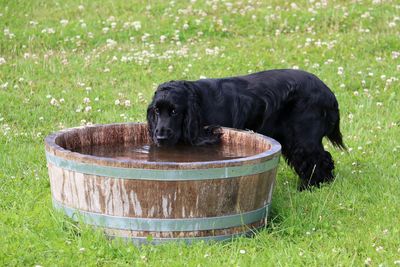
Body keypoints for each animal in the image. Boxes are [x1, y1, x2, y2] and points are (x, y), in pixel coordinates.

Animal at [146, 69, 344, 191]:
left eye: (174, 111)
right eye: (156, 111)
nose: (160, 137)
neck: (198, 101)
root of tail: (329, 93)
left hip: (303, 138)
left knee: (321, 159)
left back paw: (312, 186)